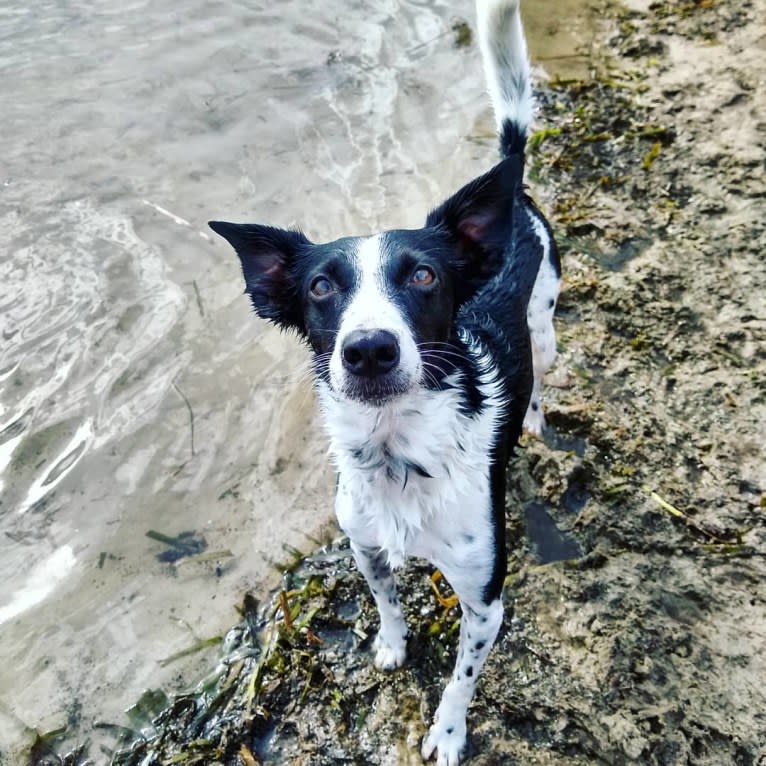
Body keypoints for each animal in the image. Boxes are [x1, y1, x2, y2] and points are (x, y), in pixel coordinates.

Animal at [210, 0, 560, 764]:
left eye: (423, 275)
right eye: (320, 287)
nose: (368, 350)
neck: (399, 453)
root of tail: (509, 182)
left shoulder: (486, 600)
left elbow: (461, 679)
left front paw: (448, 734)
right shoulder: (364, 544)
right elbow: (385, 599)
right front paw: (392, 646)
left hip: (546, 323)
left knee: (545, 374)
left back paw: (536, 424)